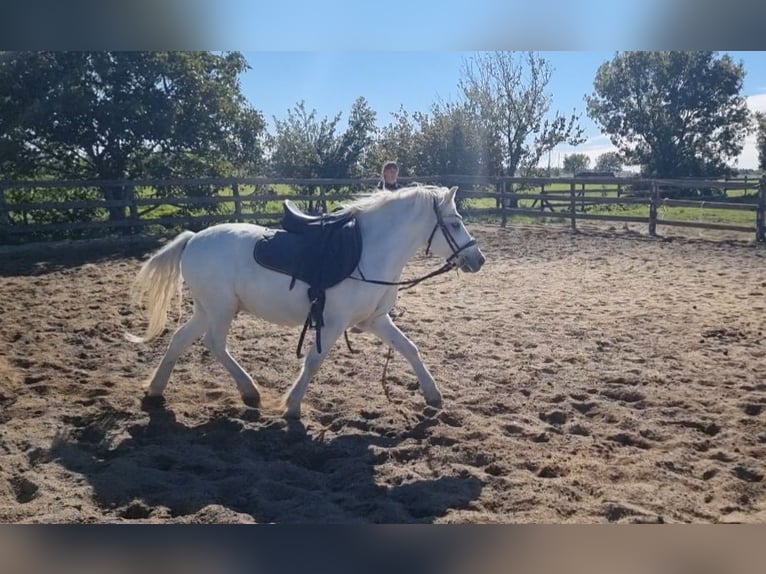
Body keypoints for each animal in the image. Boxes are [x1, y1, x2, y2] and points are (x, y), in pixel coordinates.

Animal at [127, 184, 486, 419]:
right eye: (455, 223)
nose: (478, 259)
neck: (368, 251)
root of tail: (192, 240)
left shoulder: (374, 320)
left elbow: (410, 349)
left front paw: (433, 395)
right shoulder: (334, 323)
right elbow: (314, 361)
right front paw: (293, 406)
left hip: (206, 309)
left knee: (179, 340)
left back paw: (157, 390)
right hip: (220, 308)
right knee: (214, 344)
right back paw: (249, 390)